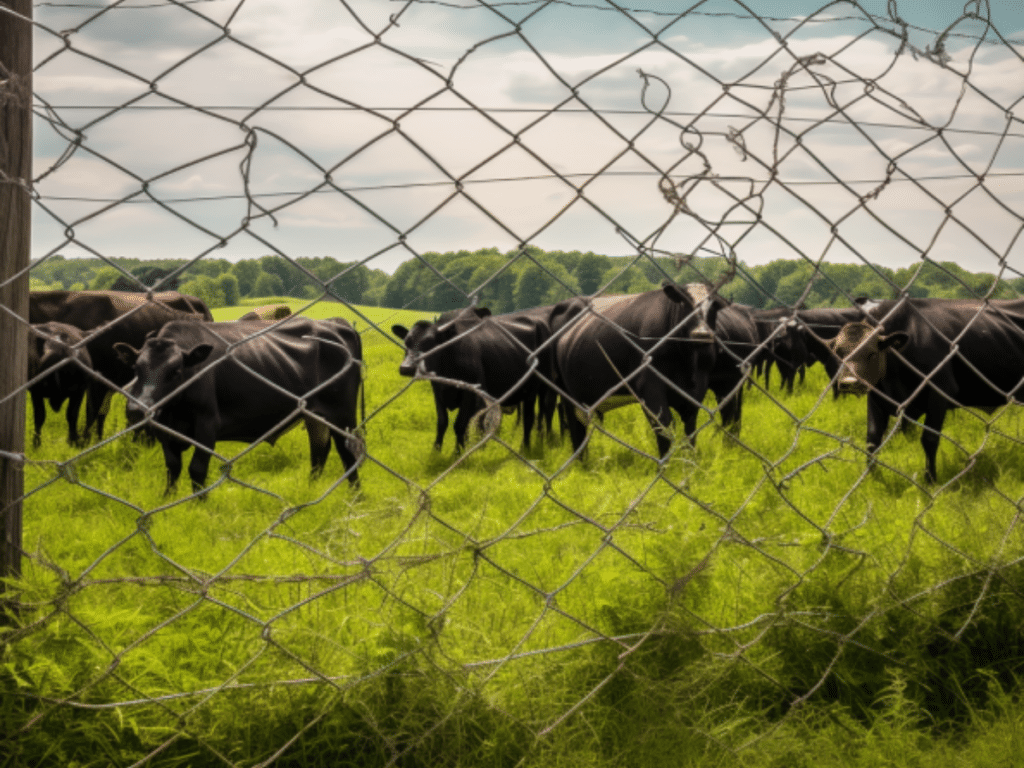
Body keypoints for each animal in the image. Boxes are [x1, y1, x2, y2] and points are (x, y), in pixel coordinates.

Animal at [114, 317, 363, 494]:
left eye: (175, 371)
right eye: (136, 368)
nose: (137, 410)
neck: (176, 412)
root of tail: (335, 323)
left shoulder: (207, 424)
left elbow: (197, 469)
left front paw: (198, 505)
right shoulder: (164, 430)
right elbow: (172, 467)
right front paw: (169, 500)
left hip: (342, 414)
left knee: (348, 453)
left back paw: (355, 498)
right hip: (314, 414)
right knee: (319, 450)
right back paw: (311, 492)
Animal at [392, 306, 554, 452]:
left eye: (431, 344)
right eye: (406, 342)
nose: (406, 367)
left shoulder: (470, 393)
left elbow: (460, 424)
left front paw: (459, 452)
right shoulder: (437, 390)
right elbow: (442, 422)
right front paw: (436, 451)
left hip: (535, 389)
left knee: (531, 417)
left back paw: (525, 447)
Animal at [552, 282, 728, 458]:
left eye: (714, 306)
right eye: (684, 302)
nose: (701, 333)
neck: (688, 363)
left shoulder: (697, 388)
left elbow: (690, 432)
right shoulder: (649, 385)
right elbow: (664, 428)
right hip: (567, 394)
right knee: (576, 431)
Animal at [819, 297, 1024, 482]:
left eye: (871, 353)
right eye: (839, 353)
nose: (848, 382)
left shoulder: (940, 391)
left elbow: (929, 439)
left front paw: (930, 479)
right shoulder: (877, 396)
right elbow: (872, 439)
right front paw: (871, 477)